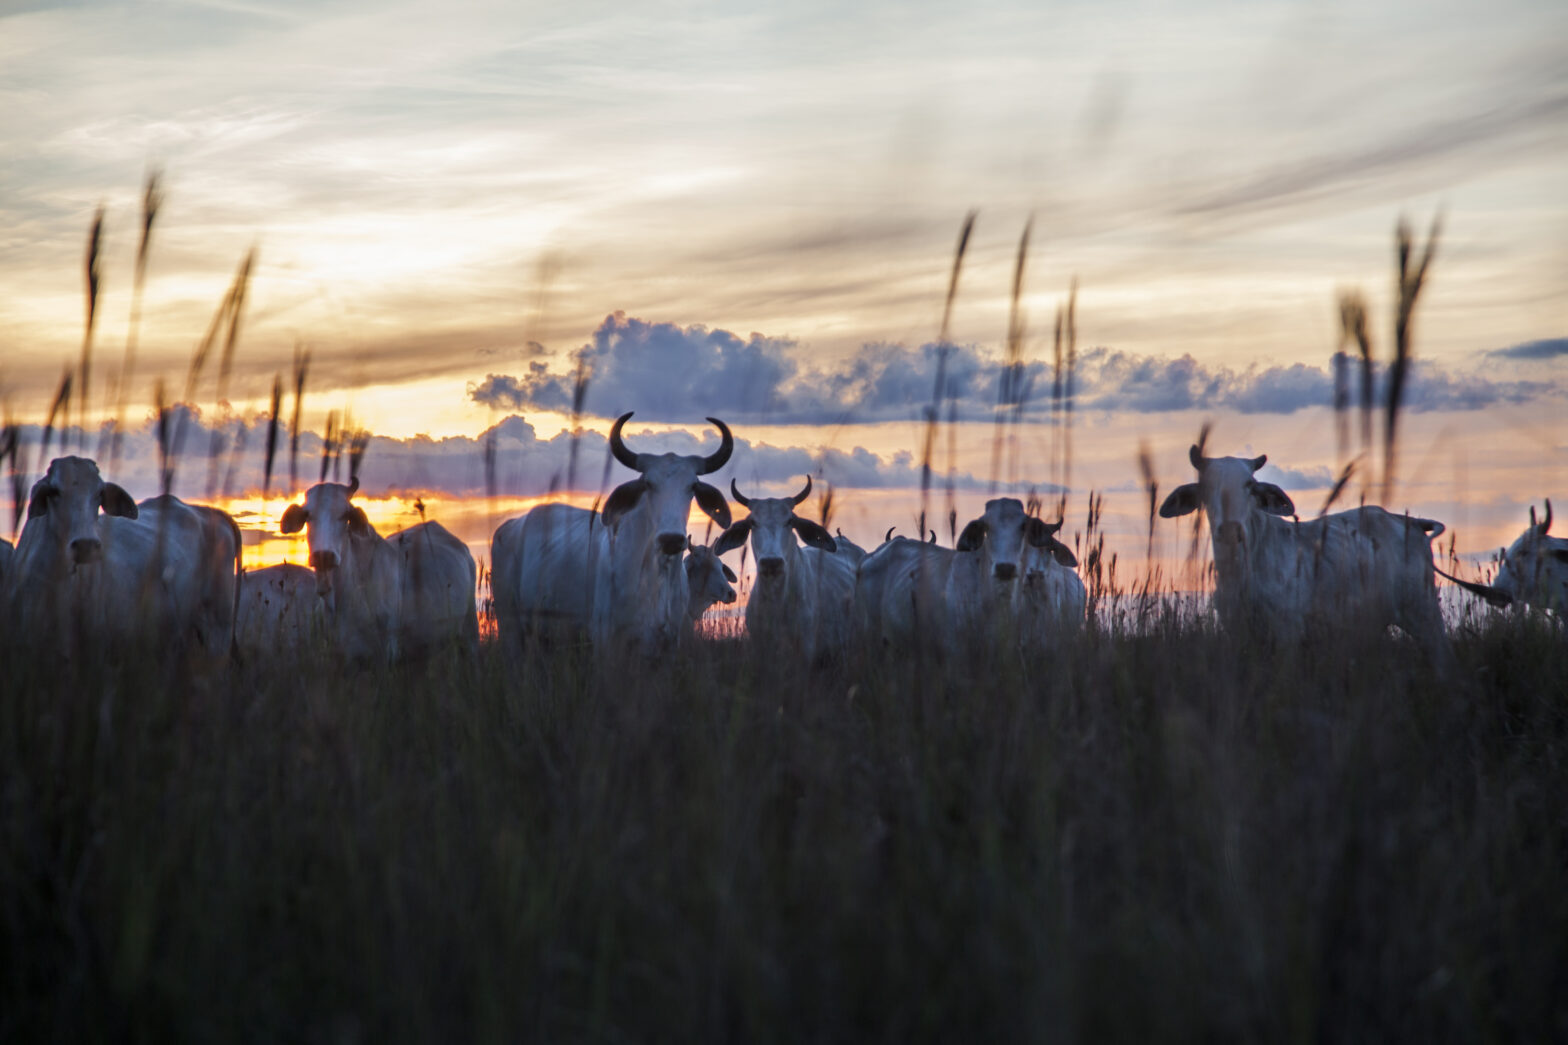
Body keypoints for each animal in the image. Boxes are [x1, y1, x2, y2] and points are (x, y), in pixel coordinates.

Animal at [489, 407, 733, 646]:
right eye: (647, 483)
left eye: (693, 485)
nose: (671, 539)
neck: (658, 578)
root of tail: (509, 527)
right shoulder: (607, 639)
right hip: (510, 627)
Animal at [1160, 442, 1448, 655]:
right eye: (1206, 486)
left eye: (1250, 486)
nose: (1231, 530)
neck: (1241, 572)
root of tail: (1407, 521)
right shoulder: (1238, 632)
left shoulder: (1287, 632)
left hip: (1425, 615)